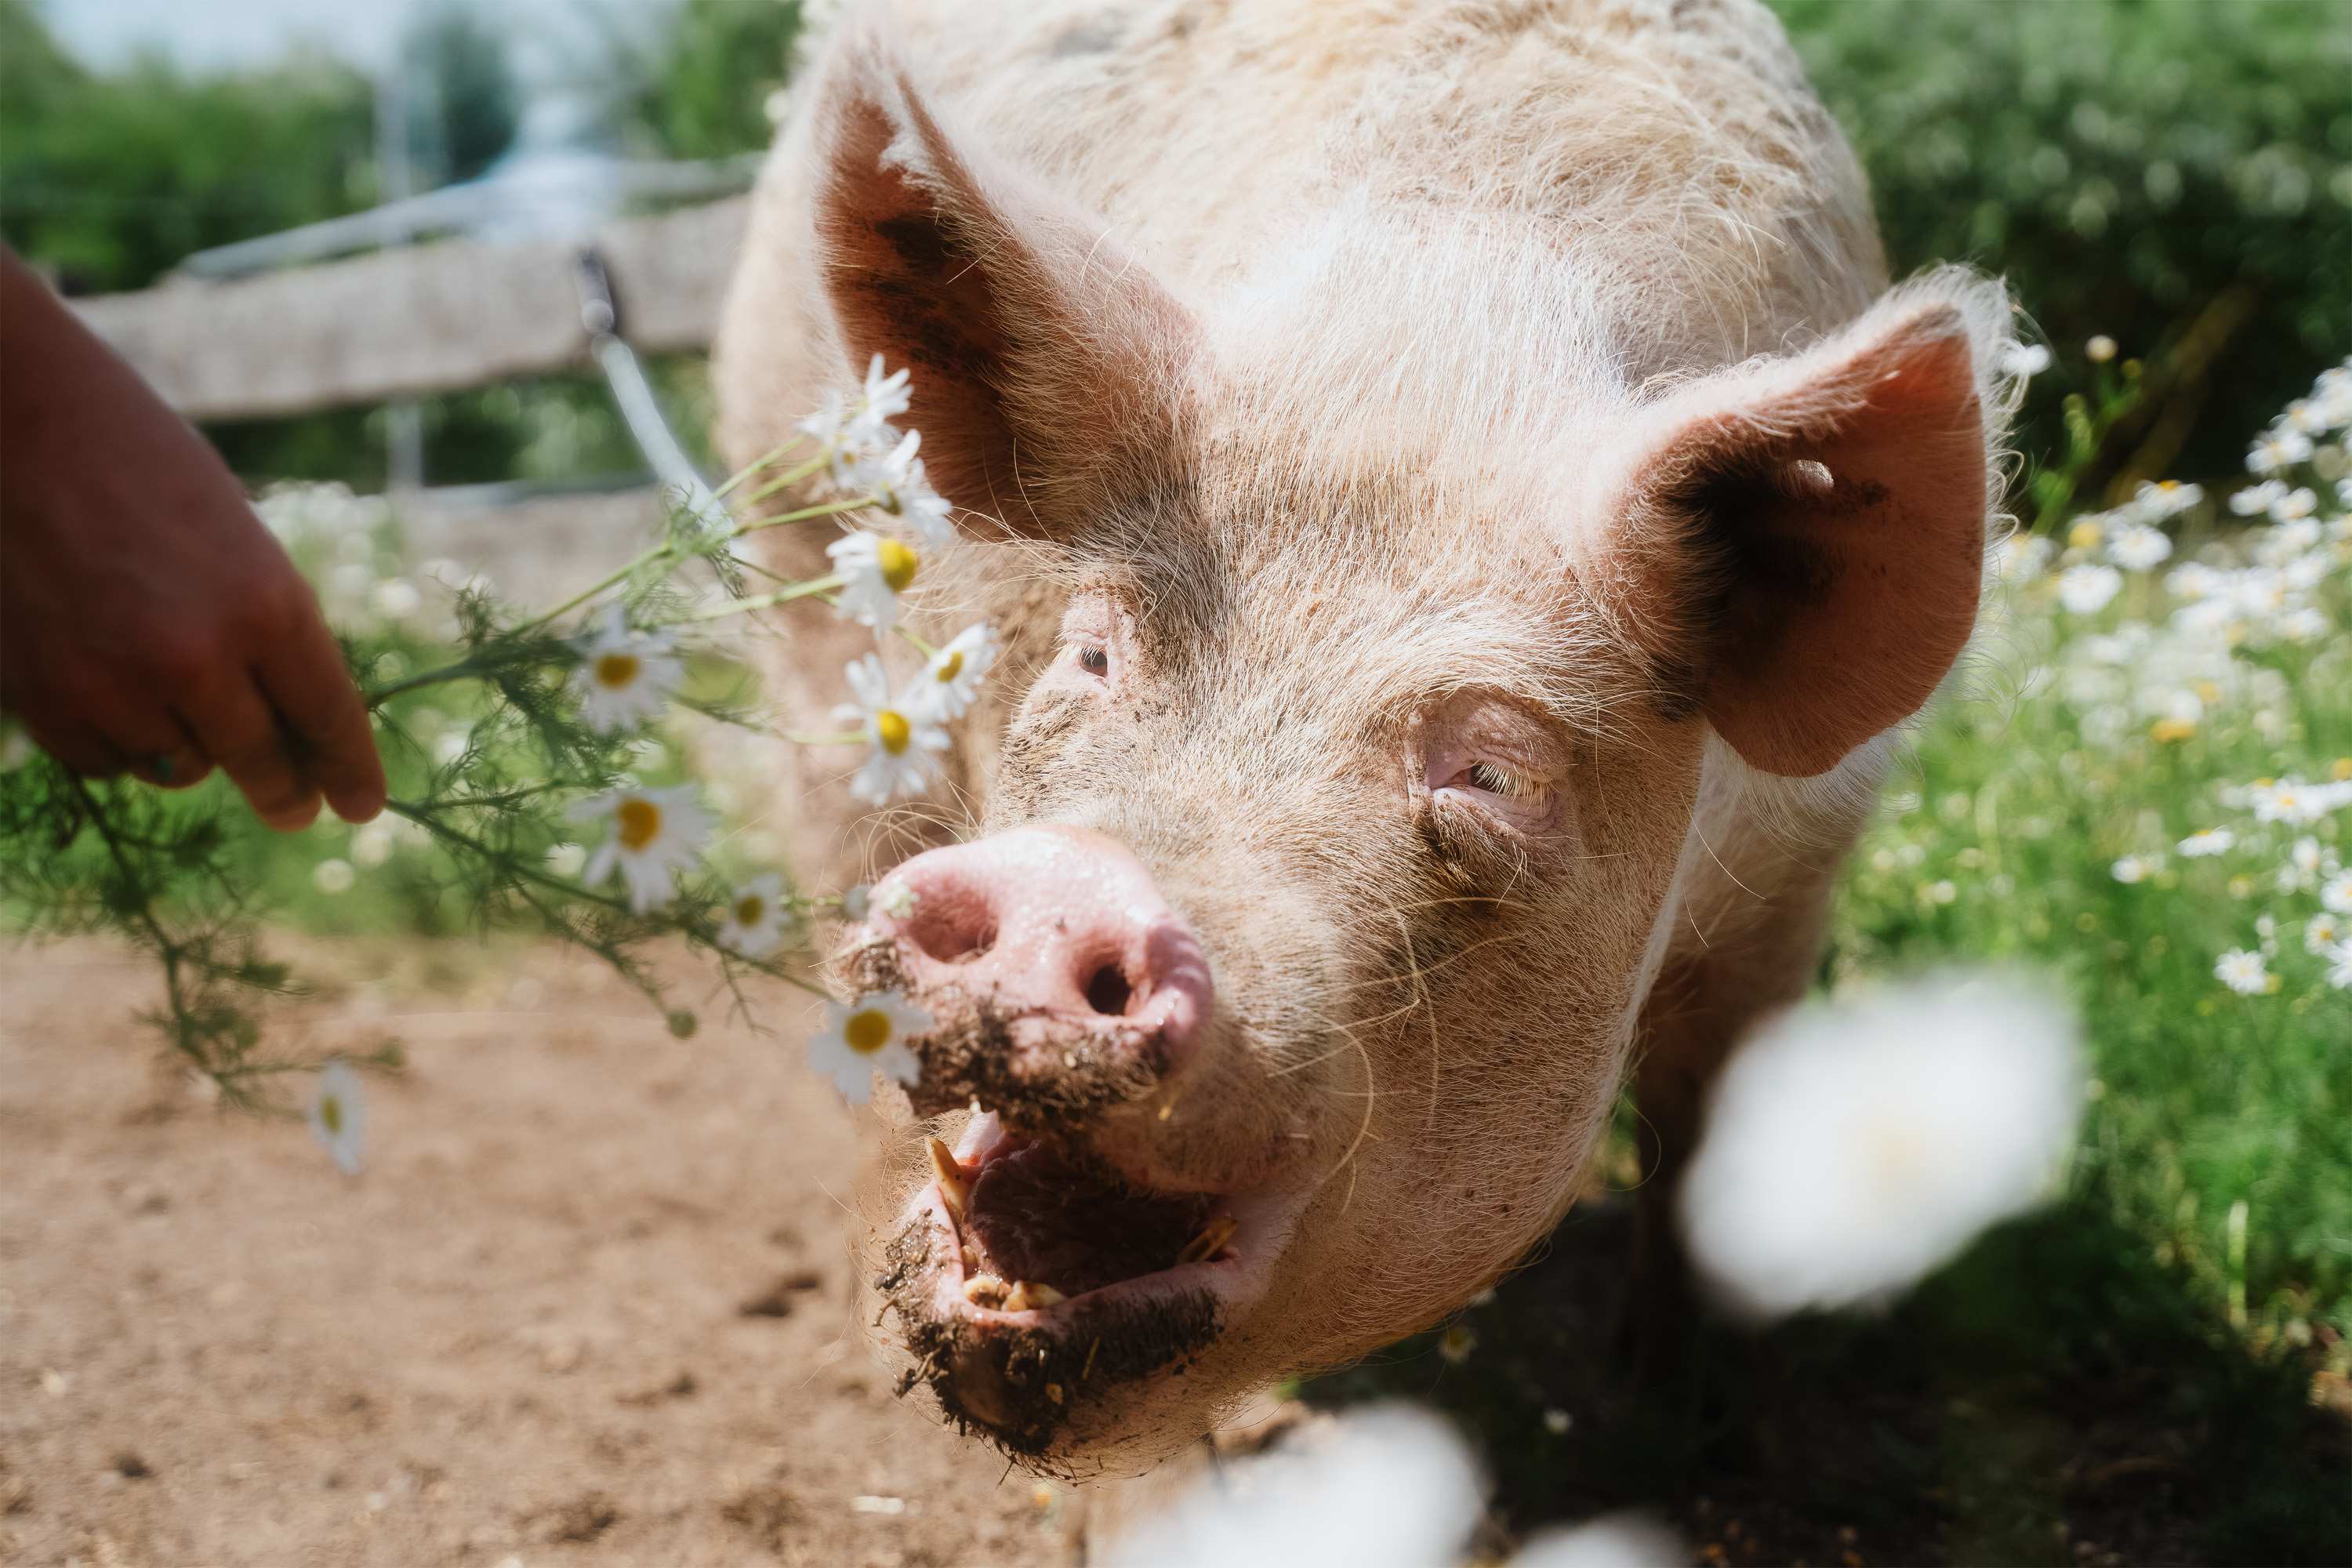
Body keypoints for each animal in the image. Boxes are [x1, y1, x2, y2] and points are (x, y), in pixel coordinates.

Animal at [712, 0, 2018, 1473]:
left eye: (1494, 771)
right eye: (1095, 652)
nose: (1063, 884)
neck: (1446, 330)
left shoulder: (1799, 873)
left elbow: (1708, 1134)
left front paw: (1697, 1420)